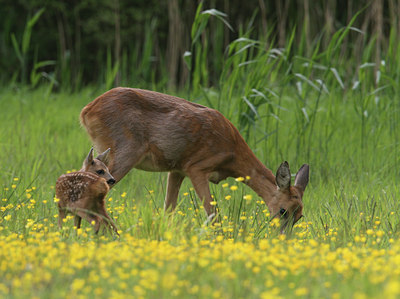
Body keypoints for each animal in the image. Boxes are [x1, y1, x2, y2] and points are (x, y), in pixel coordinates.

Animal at [79, 87, 310, 230]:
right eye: (283, 210)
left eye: (300, 215)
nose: (282, 238)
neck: (233, 154)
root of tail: (86, 110)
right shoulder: (196, 167)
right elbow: (213, 213)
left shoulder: (177, 169)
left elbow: (168, 211)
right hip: (126, 150)